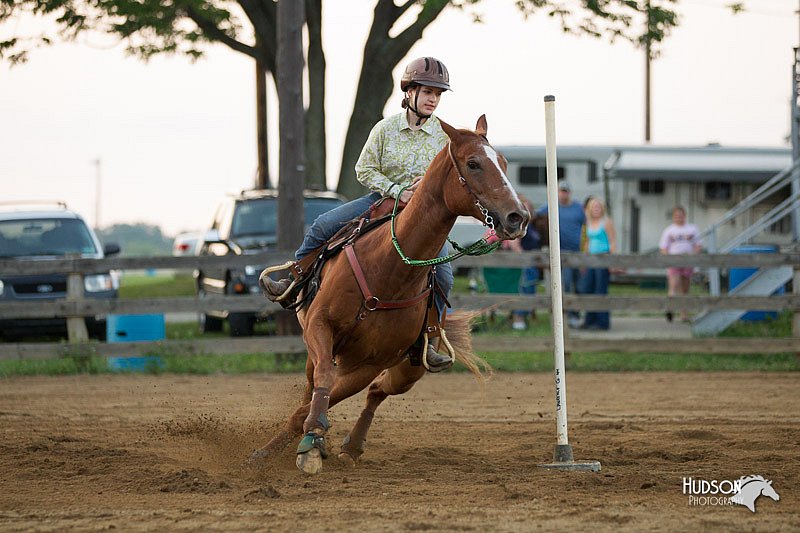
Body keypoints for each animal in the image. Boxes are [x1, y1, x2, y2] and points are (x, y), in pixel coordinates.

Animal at [248, 114, 524, 472]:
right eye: (473, 164)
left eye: (503, 163)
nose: (518, 217)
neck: (387, 269)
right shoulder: (320, 326)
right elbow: (322, 382)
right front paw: (288, 447)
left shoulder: (371, 363)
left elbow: (331, 397)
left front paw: (313, 441)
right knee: (314, 383)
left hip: (410, 369)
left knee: (378, 391)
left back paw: (352, 446)